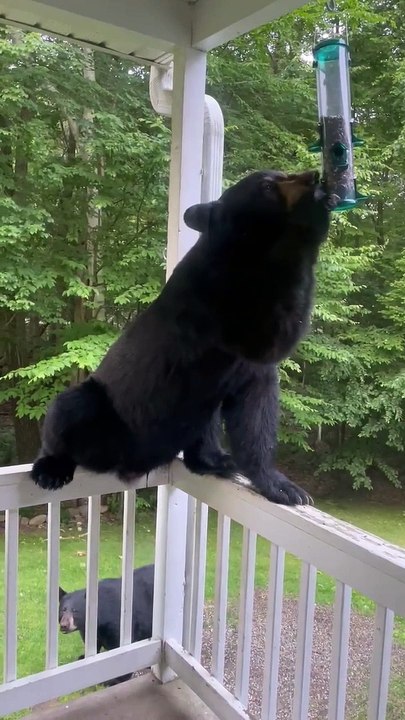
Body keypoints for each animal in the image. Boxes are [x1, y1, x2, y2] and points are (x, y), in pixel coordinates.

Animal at [31, 169, 333, 505]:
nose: (313, 176)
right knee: (65, 411)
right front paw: (316, 210)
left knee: (204, 432)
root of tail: (131, 463)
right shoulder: (219, 303)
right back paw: (51, 469)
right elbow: (268, 335)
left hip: (199, 406)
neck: (247, 256)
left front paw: (282, 485)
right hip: (101, 407)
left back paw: (216, 460)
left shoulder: (250, 370)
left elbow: (257, 419)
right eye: (268, 185)